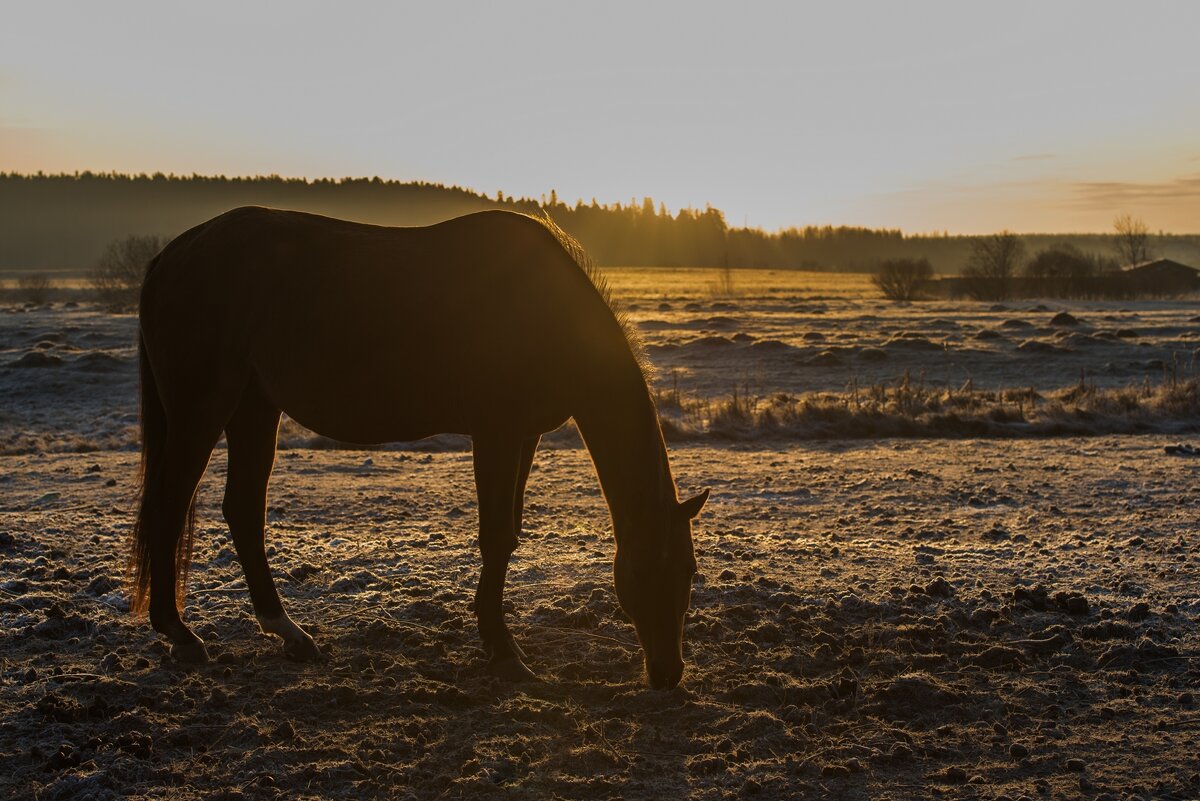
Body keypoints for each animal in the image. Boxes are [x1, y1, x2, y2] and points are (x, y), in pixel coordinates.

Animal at [131, 205, 705, 690]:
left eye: (689, 572)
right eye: (651, 572)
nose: (668, 673)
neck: (542, 308)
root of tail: (172, 256)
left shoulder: (525, 436)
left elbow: (511, 533)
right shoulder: (495, 433)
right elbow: (495, 536)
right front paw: (503, 650)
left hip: (253, 408)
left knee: (243, 511)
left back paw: (288, 632)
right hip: (203, 409)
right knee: (168, 506)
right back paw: (181, 635)